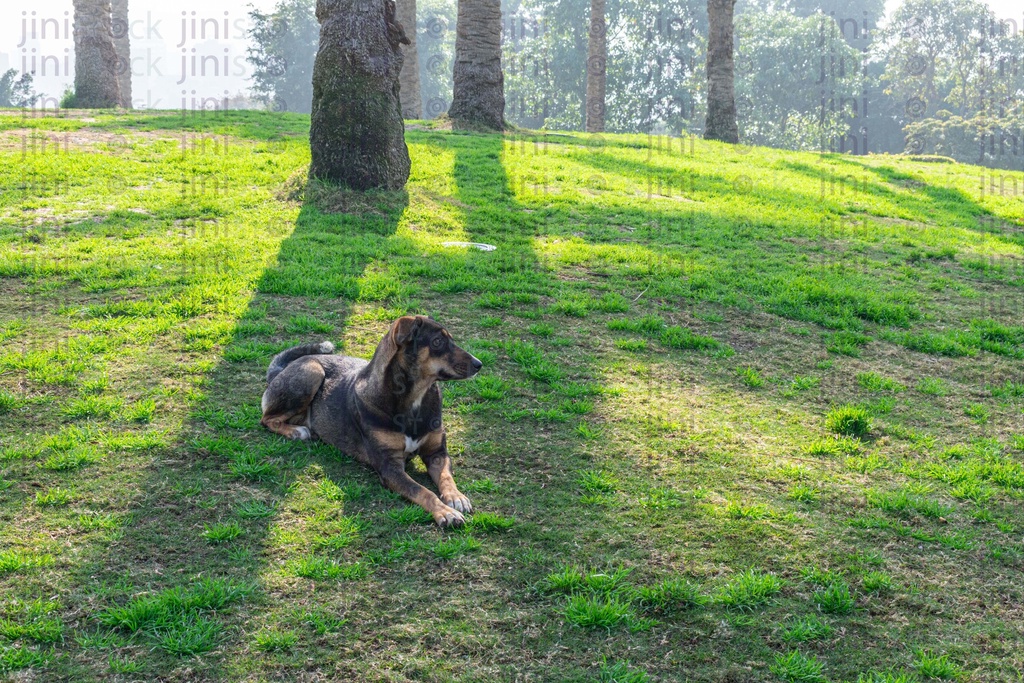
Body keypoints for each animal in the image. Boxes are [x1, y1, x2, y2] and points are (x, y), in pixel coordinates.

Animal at [256, 317, 479, 528]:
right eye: (437, 342)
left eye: (451, 340)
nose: (479, 364)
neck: (414, 399)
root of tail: (281, 370)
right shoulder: (390, 466)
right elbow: (422, 491)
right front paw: (445, 512)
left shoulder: (436, 452)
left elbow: (446, 477)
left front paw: (456, 497)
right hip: (311, 372)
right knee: (266, 419)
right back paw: (296, 431)